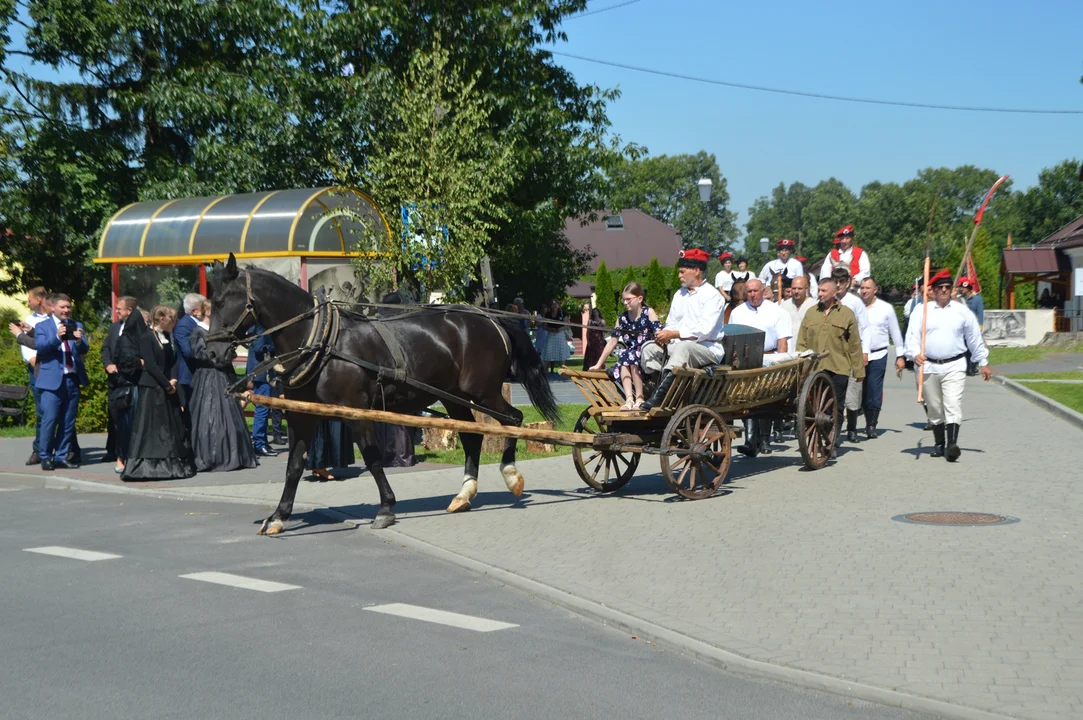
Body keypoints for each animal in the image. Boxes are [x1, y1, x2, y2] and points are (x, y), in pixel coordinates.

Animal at [204, 251, 558, 528]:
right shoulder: (303, 416)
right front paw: (278, 515)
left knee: (513, 420)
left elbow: (373, 459)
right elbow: (293, 467)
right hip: (453, 396)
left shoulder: (356, 412)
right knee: (473, 437)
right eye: (211, 302)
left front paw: (386, 508)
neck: (320, 340)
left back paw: (511, 475)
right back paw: (464, 493)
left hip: (483, 392)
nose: (210, 353)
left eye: (220, 302)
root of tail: (489, 317)